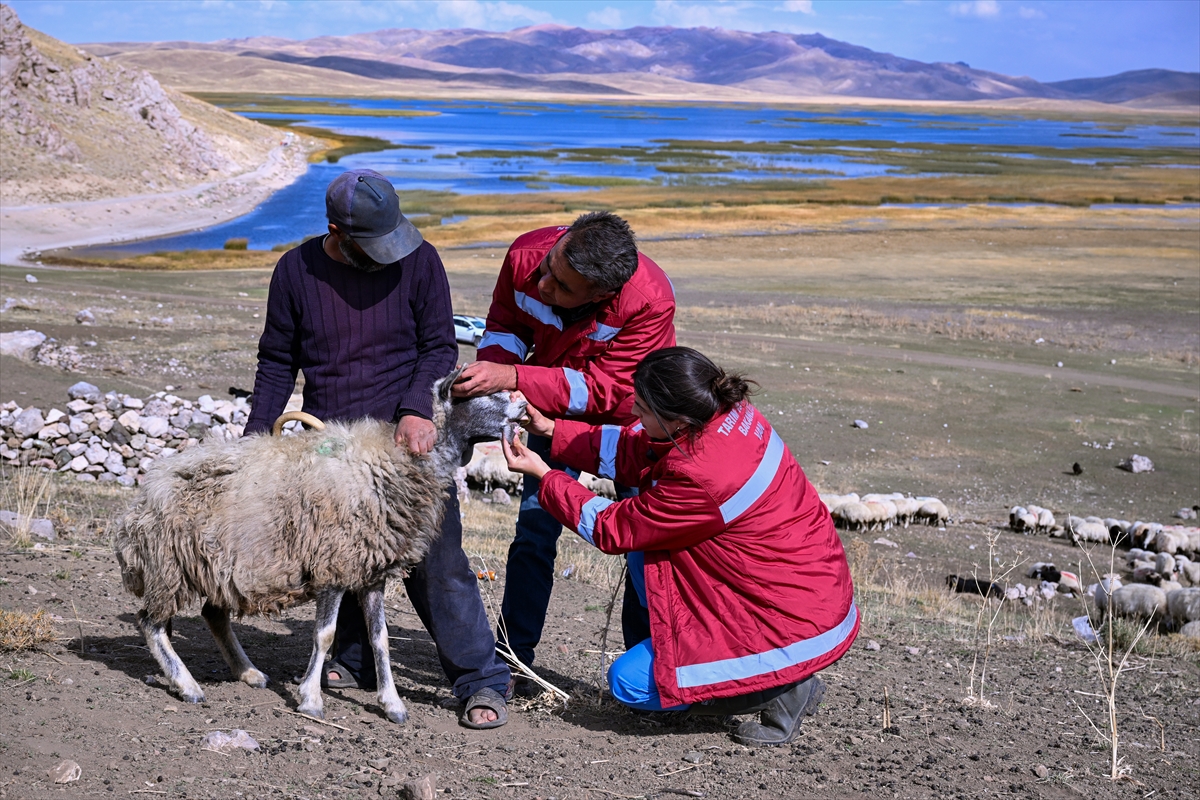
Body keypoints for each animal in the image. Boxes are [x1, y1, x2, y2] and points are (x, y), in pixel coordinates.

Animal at [115, 369, 525, 724]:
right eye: (482, 393)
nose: (522, 406)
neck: (395, 462)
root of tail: (147, 488)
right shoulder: (334, 563)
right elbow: (324, 634)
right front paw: (311, 699)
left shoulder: (370, 570)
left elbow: (380, 638)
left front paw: (392, 703)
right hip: (168, 565)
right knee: (149, 623)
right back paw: (187, 684)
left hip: (220, 565)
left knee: (212, 616)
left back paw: (248, 673)